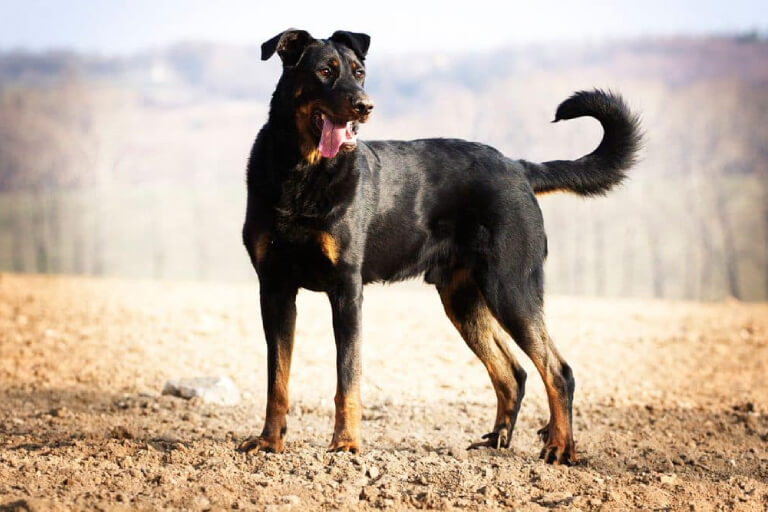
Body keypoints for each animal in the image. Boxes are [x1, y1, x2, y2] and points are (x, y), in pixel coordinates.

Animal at [240, 28, 640, 466]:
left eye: (359, 72)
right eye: (325, 71)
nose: (365, 106)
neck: (303, 170)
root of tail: (519, 168)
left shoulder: (346, 290)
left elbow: (348, 378)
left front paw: (345, 445)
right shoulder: (274, 289)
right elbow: (276, 380)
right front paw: (269, 441)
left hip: (510, 287)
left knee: (556, 370)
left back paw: (559, 448)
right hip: (463, 298)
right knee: (513, 372)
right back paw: (498, 441)